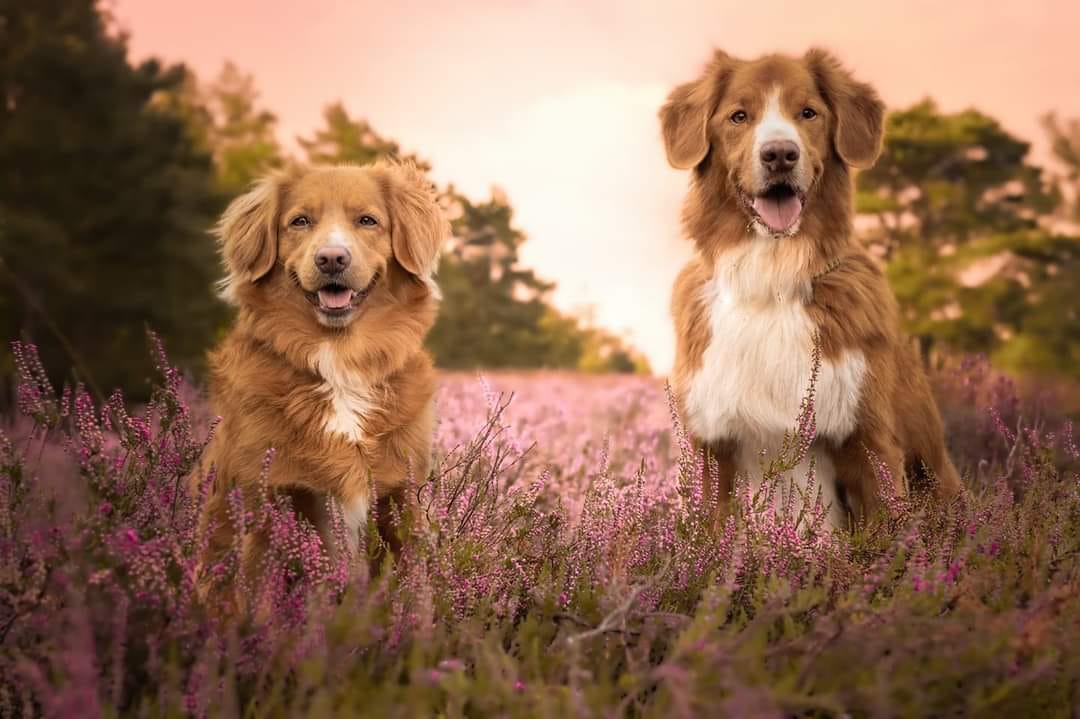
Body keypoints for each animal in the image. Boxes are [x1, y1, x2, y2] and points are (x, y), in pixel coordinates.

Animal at [193, 158, 447, 587]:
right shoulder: (269, 501)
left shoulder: (400, 498)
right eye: (299, 221)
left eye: (367, 220)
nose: (331, 258)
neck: (340, 361)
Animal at [656, 47, 963, 524]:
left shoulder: (866, 439)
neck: (772, 279)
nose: (780, 154)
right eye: (739, 116)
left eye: (808, 113)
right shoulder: (714, 446)